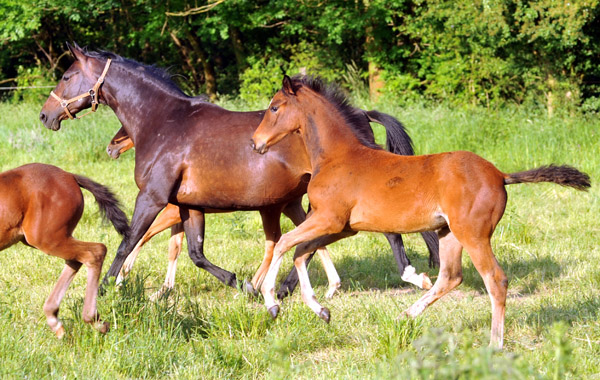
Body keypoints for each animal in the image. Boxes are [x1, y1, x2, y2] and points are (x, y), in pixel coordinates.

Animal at [0, 163, 129, 336]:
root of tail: (70, 176)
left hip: (47, 239)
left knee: (95, 251)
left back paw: (93, 319)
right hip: (53, 237)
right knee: (76, 259)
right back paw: (54, 317)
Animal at [39, 43, 438, 296]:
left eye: (66, 76)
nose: (45, 115)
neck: (165, 121)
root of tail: (359, 117)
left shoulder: (152, 198)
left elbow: (128, 242)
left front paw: (107, 289)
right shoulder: (189, 206)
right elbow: (195, 253)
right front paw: (238, 283)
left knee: (382, 233)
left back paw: (410, 276)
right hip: (297, 201)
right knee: (305, 241)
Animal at [250, 75, 592, 350]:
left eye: (275, 107)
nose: (255, 143)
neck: (338, 156)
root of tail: (499, 174)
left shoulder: (328, 220)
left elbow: (285, 243)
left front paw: (270, 301)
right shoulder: (343, 227)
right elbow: (301, 253)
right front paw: (321, 310)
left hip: (474, 235)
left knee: (495, 280)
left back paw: (494, 343)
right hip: (448, 233)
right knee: (451, 277)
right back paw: (405, 315)